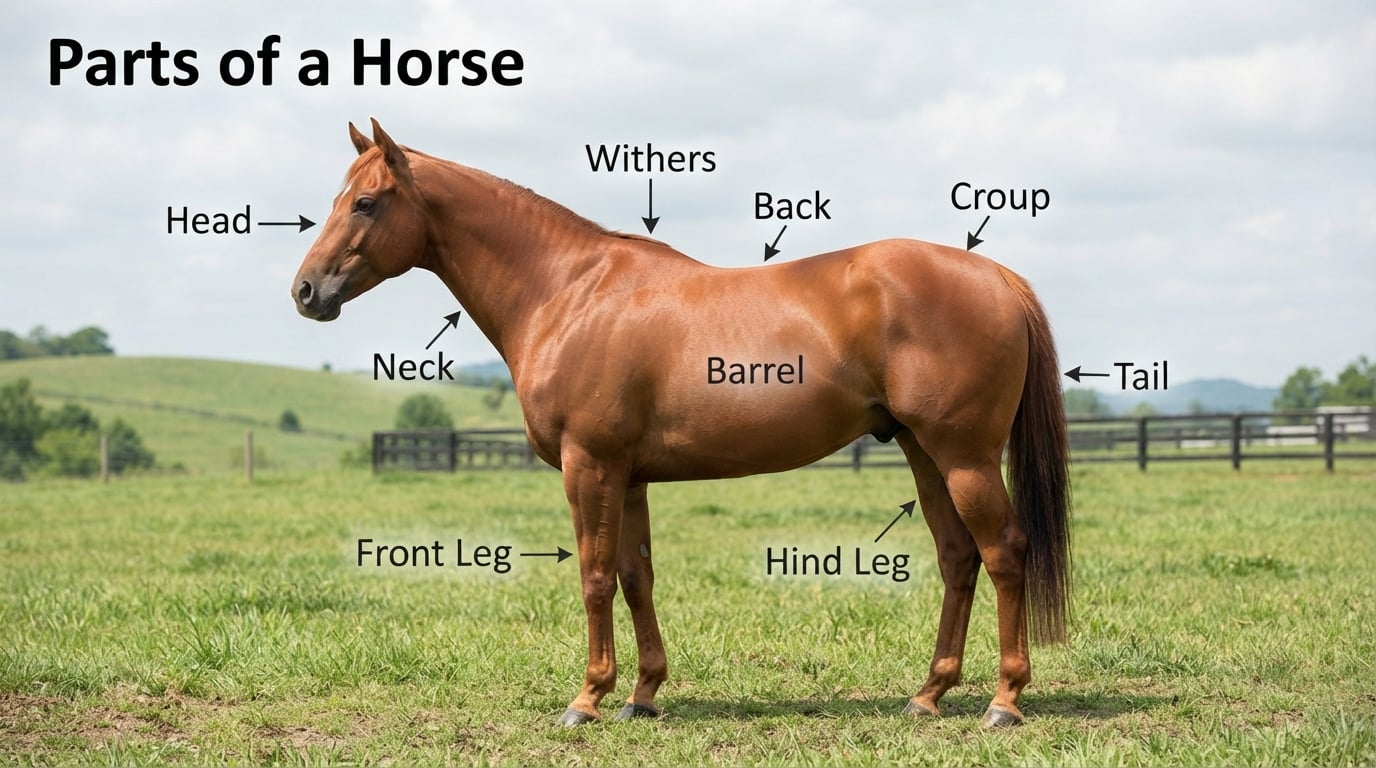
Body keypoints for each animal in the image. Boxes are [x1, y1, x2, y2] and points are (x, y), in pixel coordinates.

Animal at [291, 119, 1072, 729]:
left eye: (365, 202)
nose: (305, 291)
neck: (569, 292)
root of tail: (996, 276)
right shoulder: (628, 475)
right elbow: (636, 575)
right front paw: (642, 695)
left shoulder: (590, 465)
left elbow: (595, 577)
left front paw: (587, 698)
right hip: (923, 452)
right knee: (958, 557)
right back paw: (929, 694)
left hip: (964, 455)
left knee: (1004, 552)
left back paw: (1004, 701)